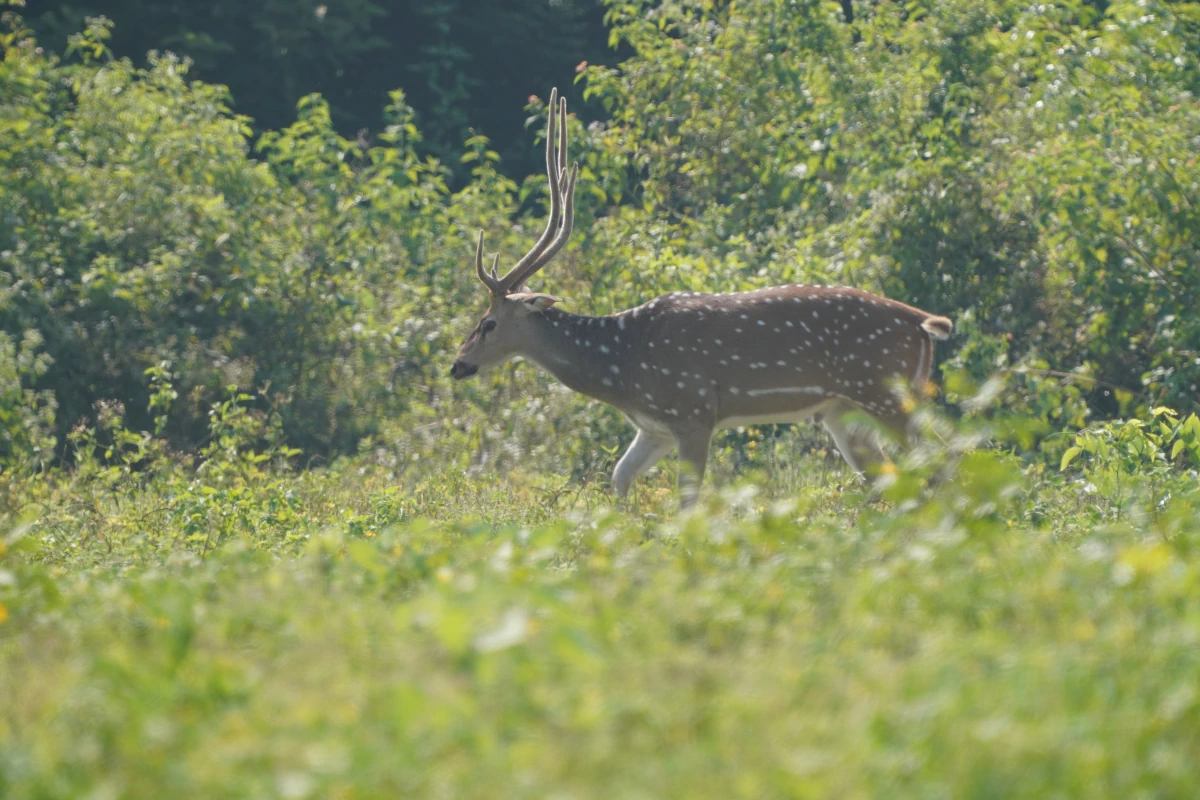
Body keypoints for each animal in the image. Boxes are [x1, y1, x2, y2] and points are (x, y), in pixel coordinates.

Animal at [451, 89, 955, 506]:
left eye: (488, 322)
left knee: (942, 457)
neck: (623, 366)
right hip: (843, 410)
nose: (457, 365)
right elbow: (619, 477)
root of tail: (924, 322)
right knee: (892, 475)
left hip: (885, 390)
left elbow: (688, 500)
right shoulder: (655, 427)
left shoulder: (692, 409)